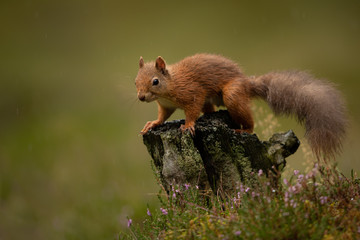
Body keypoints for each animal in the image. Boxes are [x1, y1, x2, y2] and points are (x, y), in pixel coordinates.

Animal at [134, 54, 346, 159]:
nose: (141, 97)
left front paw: (188, 125)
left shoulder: (193, 93)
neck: (171, 85)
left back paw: (244, 130)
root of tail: (246, 83)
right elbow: (162, 116)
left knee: (248, 120)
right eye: (135, 81)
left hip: (232, 95)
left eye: (155, 81)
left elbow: (192, 111)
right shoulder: (165, 106)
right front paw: (152, 124)